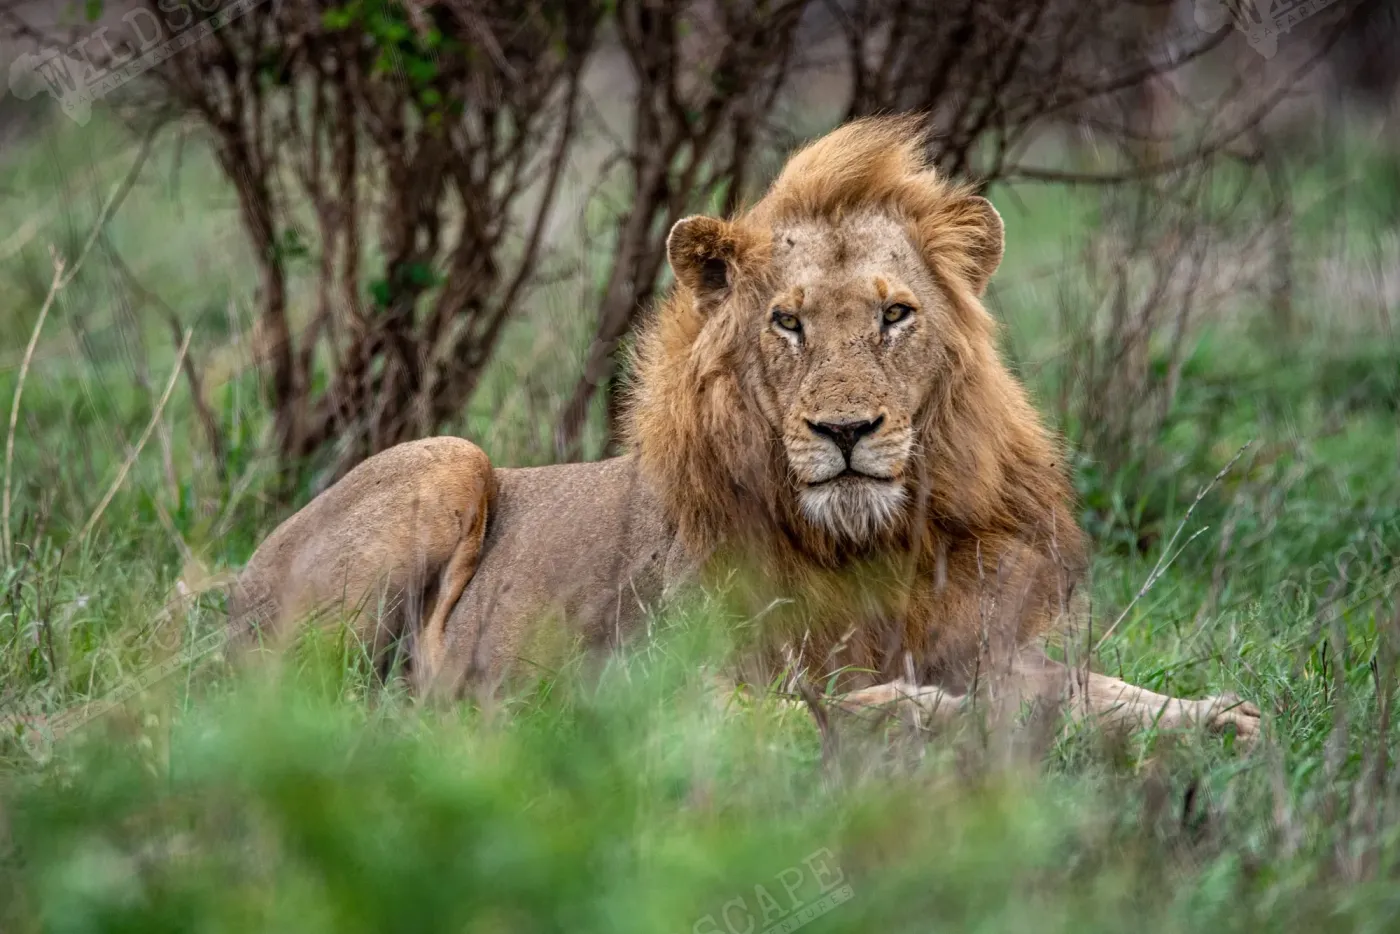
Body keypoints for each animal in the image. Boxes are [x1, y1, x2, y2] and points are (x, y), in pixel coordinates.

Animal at [230, 116, 1259, 741]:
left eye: (895, 315)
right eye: (787, 322)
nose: (846, 430)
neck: (865, 547)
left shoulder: (988, 647)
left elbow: (1098, 692)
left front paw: (1220, 719)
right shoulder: (644, 686)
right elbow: (807, 707)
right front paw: (920, 713)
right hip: (446, 462)